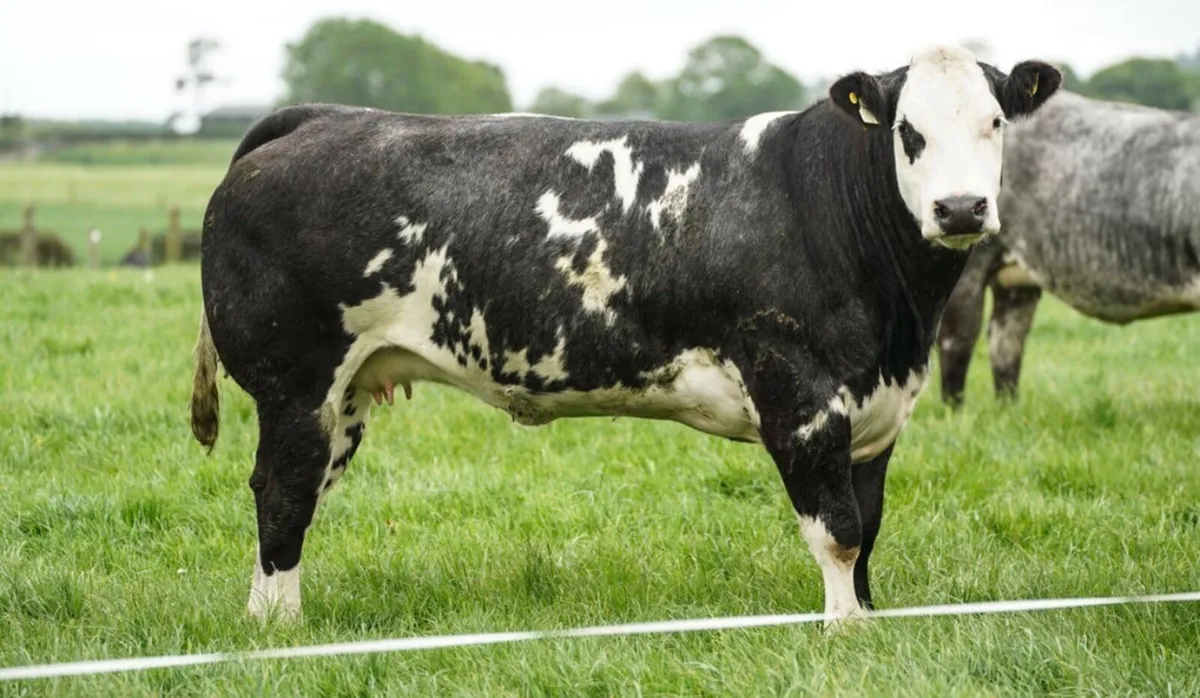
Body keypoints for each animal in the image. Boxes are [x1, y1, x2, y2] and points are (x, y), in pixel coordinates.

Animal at [189, 46, 1060, 627]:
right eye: (909, 131)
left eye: (995, 122)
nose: (960, 208)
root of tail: (317, 119)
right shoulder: (801, 395)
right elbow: (839, 532)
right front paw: (843, 634)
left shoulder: (876, 411)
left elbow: (869, 526)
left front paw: (869, 623)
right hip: (297, 382)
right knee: (283, 492)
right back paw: (280, 627)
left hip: (345, 394)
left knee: (297, 495)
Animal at [938, 91, 1200, 405]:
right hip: (969, 267)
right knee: (958, 340)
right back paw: (954, 410)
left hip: (1016, 281)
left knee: (1005, 340)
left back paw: (1009, 407)